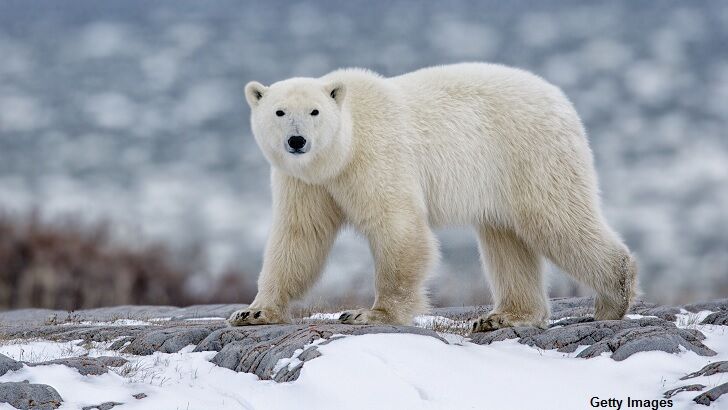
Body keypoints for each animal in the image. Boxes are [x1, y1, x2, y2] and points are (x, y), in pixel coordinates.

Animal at [229, 64, 636, 334]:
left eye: (314, 111)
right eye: (280, 112)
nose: (297, 141)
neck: (342, 150)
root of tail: (561, 99)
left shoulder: (376, 156)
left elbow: (397, 226)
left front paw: (369, 314)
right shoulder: (305, 181)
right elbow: (299, 236)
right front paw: (253, 312)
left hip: (530, 153)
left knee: (556, 219)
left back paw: (614, 296)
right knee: (506, 240)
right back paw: (503, 316)